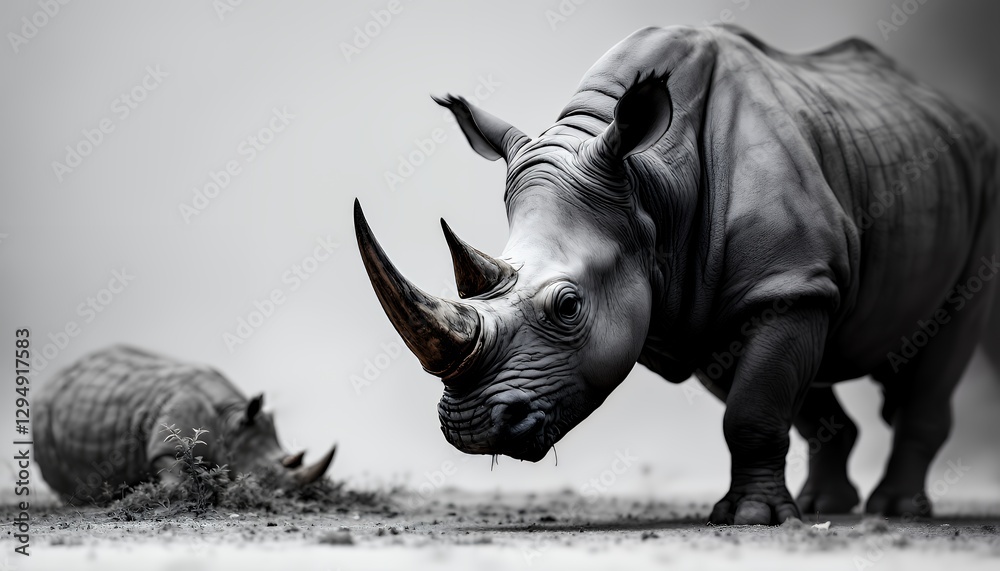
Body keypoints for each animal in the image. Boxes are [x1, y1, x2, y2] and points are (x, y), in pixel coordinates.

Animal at [34, 345, 335, 504]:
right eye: (262, 476)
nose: (296, 498)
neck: (229, 422)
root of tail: (51, 382)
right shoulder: (164, 447)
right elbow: (176, 478)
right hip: (43, 415)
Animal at [354, 25, 999, 525]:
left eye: (568, 306)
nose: (469, 429)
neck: (651, 185)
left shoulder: (786, 285)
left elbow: (753, 409)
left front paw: (751, 519)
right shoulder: (705, 307)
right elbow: (764, 398)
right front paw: (769, 510)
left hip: (977, 179)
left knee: (951, 331)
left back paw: (897, 509)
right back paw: (828, 506)